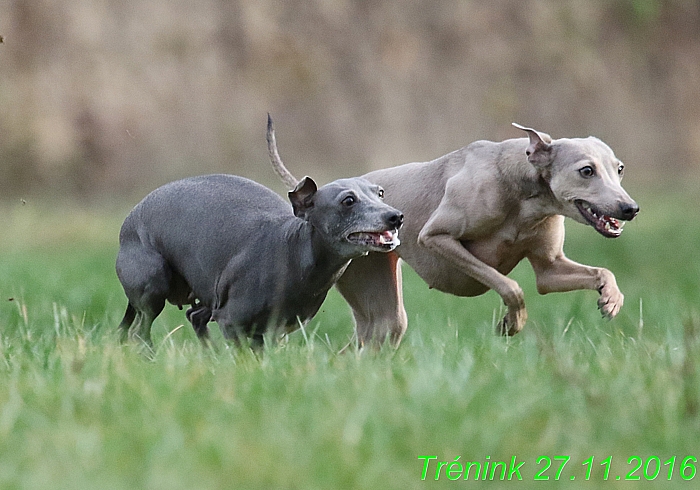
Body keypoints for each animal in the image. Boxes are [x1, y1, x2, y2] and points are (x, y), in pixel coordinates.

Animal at [117, 116, 402, 346]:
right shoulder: (232, 322)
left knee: (193, 317)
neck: (293, 253)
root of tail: (130, 217)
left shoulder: (277, 331)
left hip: (207, 295)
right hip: (153, 287)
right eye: (348, 200)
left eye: (380, 193)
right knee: (140, 333)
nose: (396, 217)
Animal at [268, 122, 640, 346]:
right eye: (586, 171)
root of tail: (320, 195)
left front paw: (611, 298)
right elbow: (511, 286)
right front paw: (512, 322)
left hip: (383, 318)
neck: (523, 191)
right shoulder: (437, 239)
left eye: (619, 168)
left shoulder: (550, 268)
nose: (630, 208)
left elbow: (595, 272)